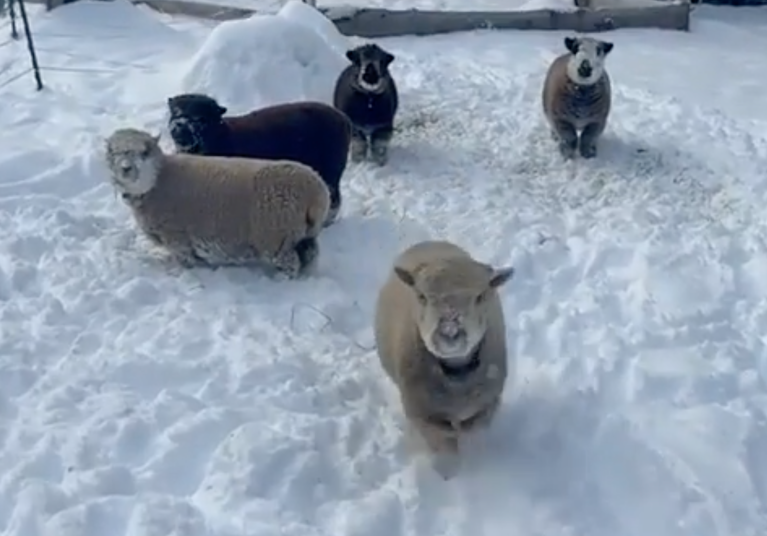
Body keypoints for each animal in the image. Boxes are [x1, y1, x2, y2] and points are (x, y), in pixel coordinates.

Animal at [103, 127, 330, 278]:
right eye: (113, 152)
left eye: (144, 152)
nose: (126, 168)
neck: (158, 180)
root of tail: (317, 192)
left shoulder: (176, 236)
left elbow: (185, 259)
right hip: (301, 234)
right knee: (311, 254)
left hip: (275, 238)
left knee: (291, 263)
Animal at [166, 93, 351, 227]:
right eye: (175, 113)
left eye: (200, 118)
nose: (179, 127)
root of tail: (344, 119)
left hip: (331, 171)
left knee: (334, 199)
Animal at [373, 240, 515, 479]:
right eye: (421, 296)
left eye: (480, 297)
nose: (449, 331)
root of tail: (429, 242)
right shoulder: (423, 417)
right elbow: (445, 446)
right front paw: (449, 474)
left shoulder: (488, 405)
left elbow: (472, 432)